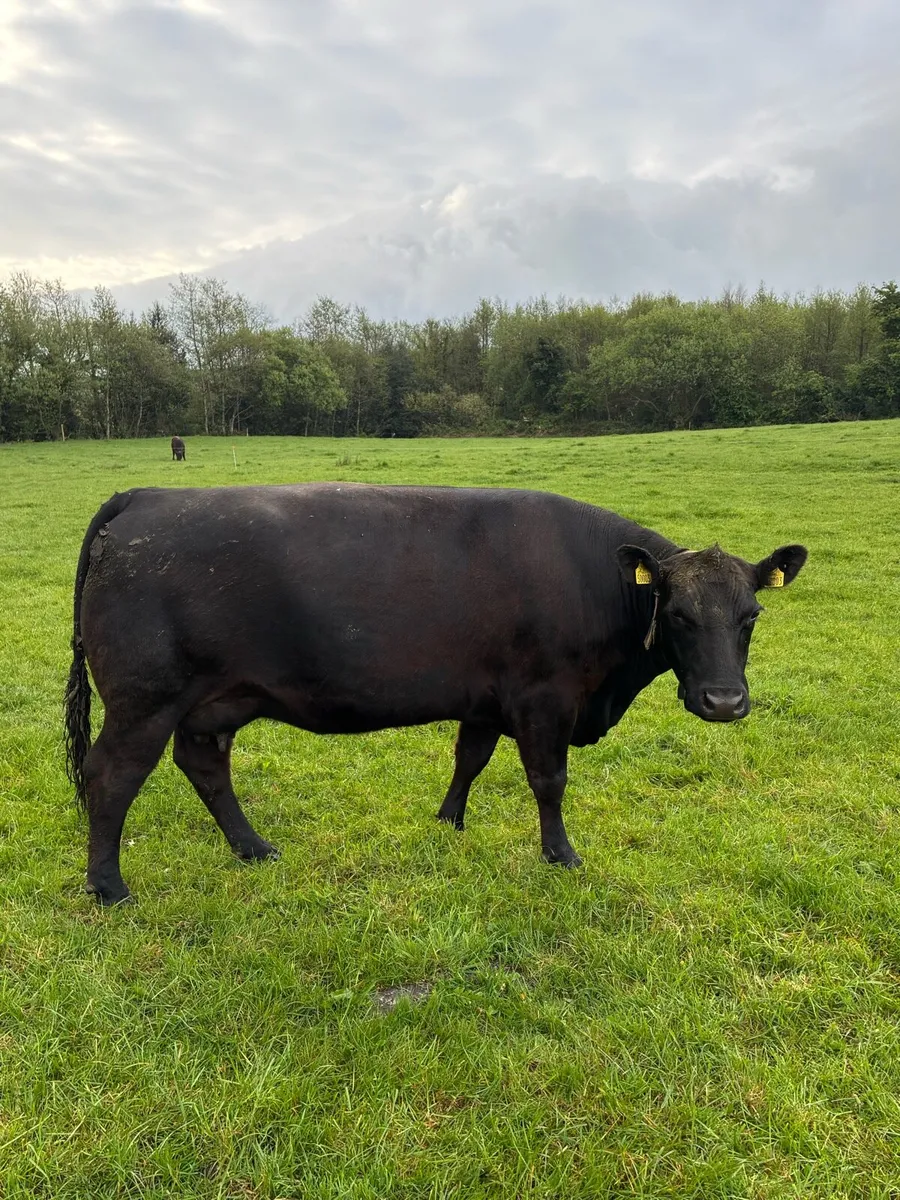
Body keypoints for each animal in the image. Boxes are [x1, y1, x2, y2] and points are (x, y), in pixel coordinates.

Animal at [64, 484, 807, 904]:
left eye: (751, 617)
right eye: (678, 616)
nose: (723, 702)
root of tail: (148, 494)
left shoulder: (486, 696)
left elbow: (469, 757)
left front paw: (449, 823)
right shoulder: (544, 697)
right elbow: (549, 780)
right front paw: (560, 855)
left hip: (211, 702)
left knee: (205, 765)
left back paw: (253, 848)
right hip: (143, 701)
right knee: (110, 777)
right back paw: (109, 887)